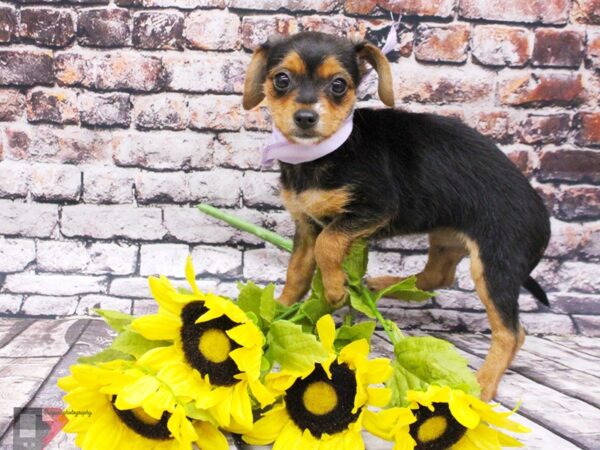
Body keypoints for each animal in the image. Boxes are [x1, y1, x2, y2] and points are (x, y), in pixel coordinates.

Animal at [241, 33, 552, 402]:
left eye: (338, 85)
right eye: (281, 80)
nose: (305, 117)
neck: (323, 152)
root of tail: (543, 217)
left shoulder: (374, 208)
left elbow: (328, 245)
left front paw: (334, 290)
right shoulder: (306, 224)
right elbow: (297, 273)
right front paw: (278, 310)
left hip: (494, 265)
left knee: (511, 332)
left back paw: (483, 386)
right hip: (446, 237)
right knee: (437, 277)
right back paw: (380, 284)